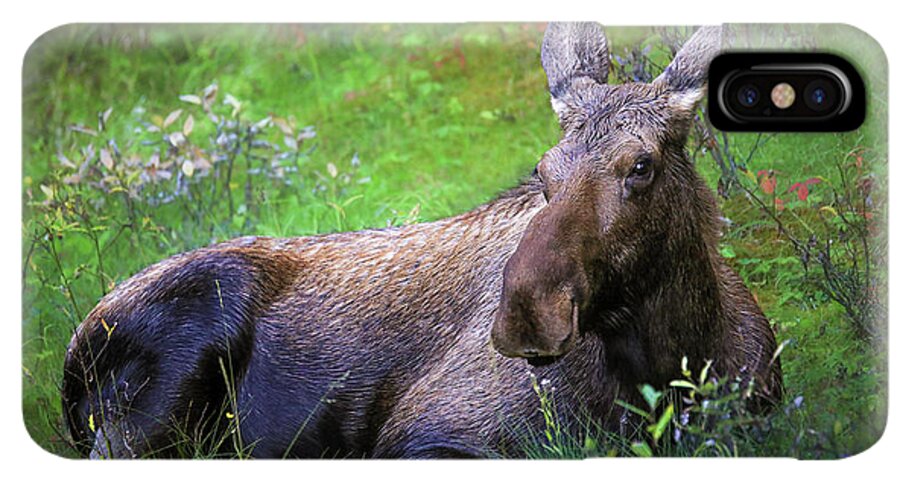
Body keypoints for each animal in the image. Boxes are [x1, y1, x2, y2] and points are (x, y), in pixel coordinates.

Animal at [63, 24, 780, 460]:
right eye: (543, 170)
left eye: (641, 165)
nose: (527, 313)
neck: (672, 366)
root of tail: (73, 354)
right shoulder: (425, 435)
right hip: (157, 394)